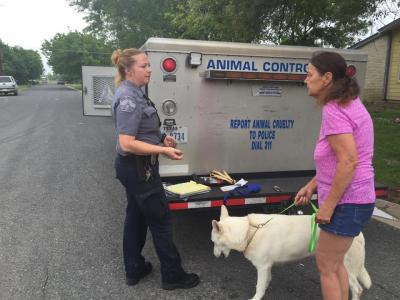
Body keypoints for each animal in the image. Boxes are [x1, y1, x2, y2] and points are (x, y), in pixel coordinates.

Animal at [211, 205, 370, 298]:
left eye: (214, 242)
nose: (215, 256)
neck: (248, 230)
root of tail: (359, 233)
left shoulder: (262, 267)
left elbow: (259, 287)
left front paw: (257, 297)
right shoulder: (267, 267)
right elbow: (266, 281)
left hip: (343, 267)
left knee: (357, 289)